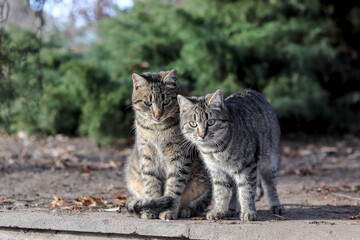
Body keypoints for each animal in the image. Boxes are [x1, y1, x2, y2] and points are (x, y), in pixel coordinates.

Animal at [126, 69, 211, 219]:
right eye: (148, 103)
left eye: (166, 101)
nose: (157, 115)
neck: (157, 130)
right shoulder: (147, 155)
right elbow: (151, 183)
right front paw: (151, 208)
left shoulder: (179, 157)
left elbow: (174, 185)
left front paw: (169, 210)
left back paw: (184, 210)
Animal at [178, 88, 284, 221]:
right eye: (193, 124)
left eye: (211, 122)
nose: (202, 135)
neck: (214, 150)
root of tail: (252, 90)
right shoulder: (216, 170)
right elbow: (220, 192)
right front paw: (219, 210)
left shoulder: (247, 167)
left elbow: (246, 190)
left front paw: (248, 211)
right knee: (235, 190)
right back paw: (232, 208)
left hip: (270, 162)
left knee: (270, 185)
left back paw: (275, 204)